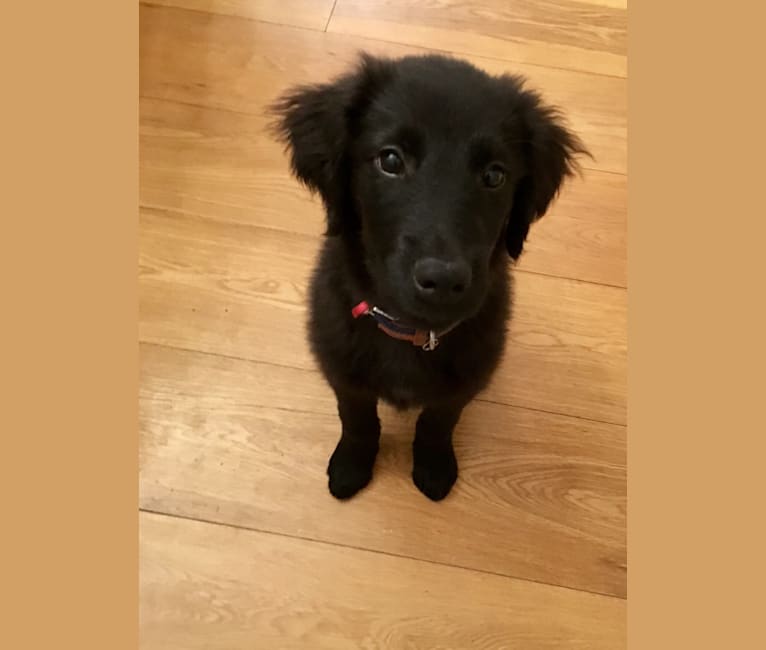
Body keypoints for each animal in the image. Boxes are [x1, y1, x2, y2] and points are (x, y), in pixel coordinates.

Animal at [272, 54, 588, 502]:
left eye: (495, 176)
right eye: (390, 161)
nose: (443, 280)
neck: (410, 330)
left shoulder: (464, 381)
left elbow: (438, 422)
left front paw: (434, 466)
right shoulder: (342, 370)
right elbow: (357, 418)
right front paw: (352, 463)